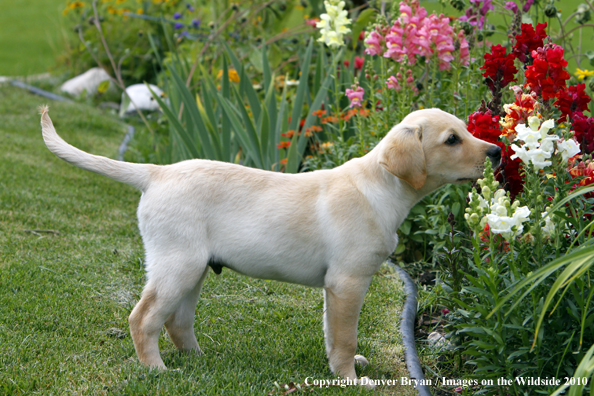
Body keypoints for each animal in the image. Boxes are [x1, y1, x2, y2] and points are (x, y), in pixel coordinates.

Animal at [39, 106, 498, 386]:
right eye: (452, 139)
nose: (495, 151)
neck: (381, 187)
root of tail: (157, 171)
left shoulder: (334, 287)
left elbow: (332, 331)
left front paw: (342, 368)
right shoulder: (349, 281)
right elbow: (345, 336)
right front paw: (350, 379)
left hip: (192, 269)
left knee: (177, 322)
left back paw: (199, 360)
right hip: (177, 263)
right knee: (144, 318)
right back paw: (157, 370)